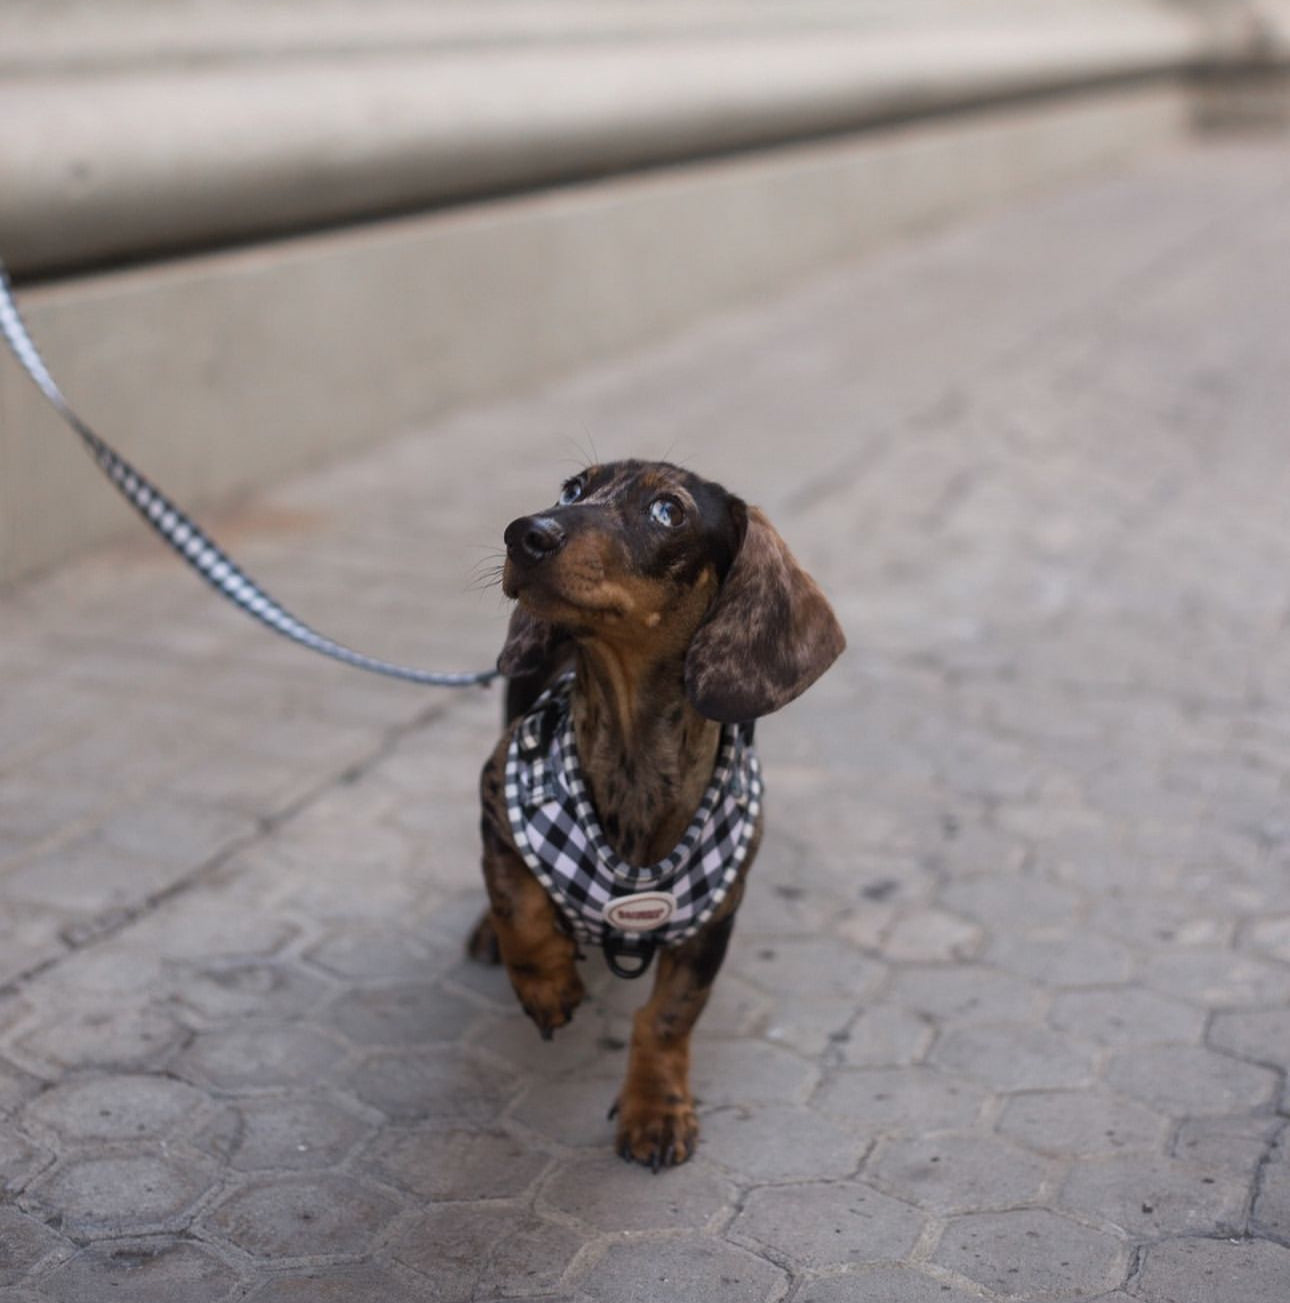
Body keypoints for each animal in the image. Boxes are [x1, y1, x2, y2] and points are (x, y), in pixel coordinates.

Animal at [474, 461, 849, 1172]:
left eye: (667, 511)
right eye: (571, 489)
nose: (523, 532)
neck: (633, 758)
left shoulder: (712, 921)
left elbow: (669, 1017)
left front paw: (657, 1109)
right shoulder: (497, 794)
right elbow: (517, 900)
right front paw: (546, 981)